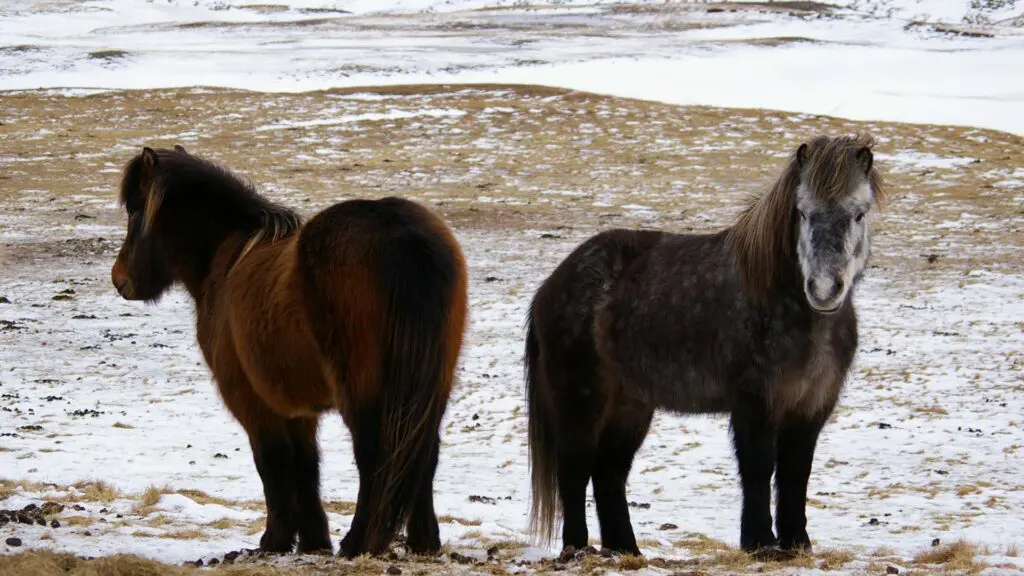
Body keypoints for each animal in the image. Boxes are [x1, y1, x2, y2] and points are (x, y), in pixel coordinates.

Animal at [109, 144, 468, 557]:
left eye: (136, 212)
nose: (119, 278)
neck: (227, 259)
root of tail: (403, 234)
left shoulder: (251, 401)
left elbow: (273, 463)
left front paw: (275, 540)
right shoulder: (297, 408)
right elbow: (306, 467)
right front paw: (313, 541)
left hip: (364, 392)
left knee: (376, 454)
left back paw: (358, 541)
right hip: (431, 386)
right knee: (423, 453)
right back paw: (424, 541)